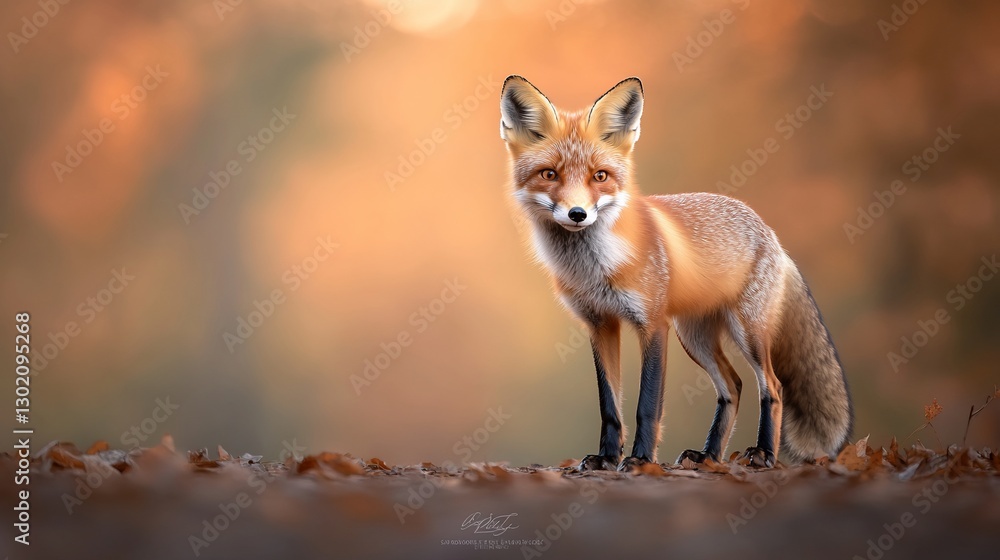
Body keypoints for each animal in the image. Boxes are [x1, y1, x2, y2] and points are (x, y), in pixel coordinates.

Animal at [499, 75, 853, 470]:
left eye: (600, 176)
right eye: (550, 174)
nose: (578, 214)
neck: (596, 268)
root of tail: (770, 232)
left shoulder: (653, 324)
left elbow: (647, 404)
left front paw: (640, 460)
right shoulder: (600, 325)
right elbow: (610, 407)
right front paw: (606, 458)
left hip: (746, 331)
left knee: (772, 386)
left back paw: (764, 453)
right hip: (695, 337)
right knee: (733, 386)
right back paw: (709, 455)